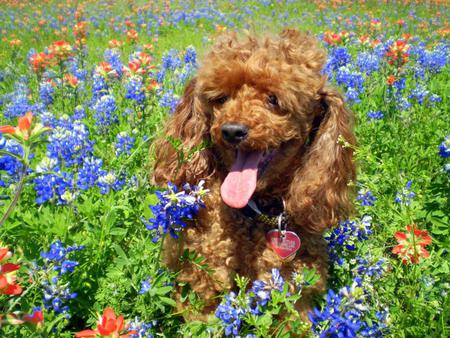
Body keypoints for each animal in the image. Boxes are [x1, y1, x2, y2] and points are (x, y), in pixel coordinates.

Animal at [151, 29, 356, 320]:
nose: (232, 131)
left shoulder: (296, 297)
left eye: (273, 99)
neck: (258, 213)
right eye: (221, 98)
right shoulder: (203, 288)